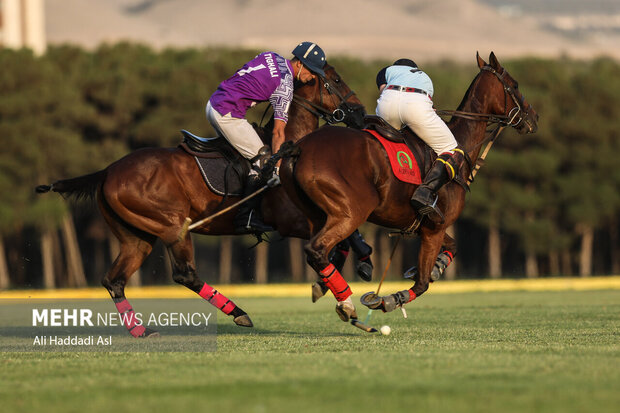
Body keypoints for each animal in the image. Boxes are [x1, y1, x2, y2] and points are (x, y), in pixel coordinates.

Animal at [36, 62, 366, 336]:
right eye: (336, 79)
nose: (361, 112)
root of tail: (107, 171)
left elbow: (346, 239)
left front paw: (351, 269)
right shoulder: (293, 220)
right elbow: (338, 241)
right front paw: (334, 287)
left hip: (136, 236)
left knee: (114, 280)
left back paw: (141, 331)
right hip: (172, 226)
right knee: (185, 274)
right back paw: (238, 312)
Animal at [280, 51, 536, 320]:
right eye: (515, 85)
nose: (534, 118)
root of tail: (300, 148)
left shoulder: (426, 226)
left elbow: (451, 248)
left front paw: (436, 267)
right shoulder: (435, 228)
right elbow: (422, 283)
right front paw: (390, 299)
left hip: (316, 214)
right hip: (352, 211)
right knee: (317, 250)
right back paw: (347, 302)